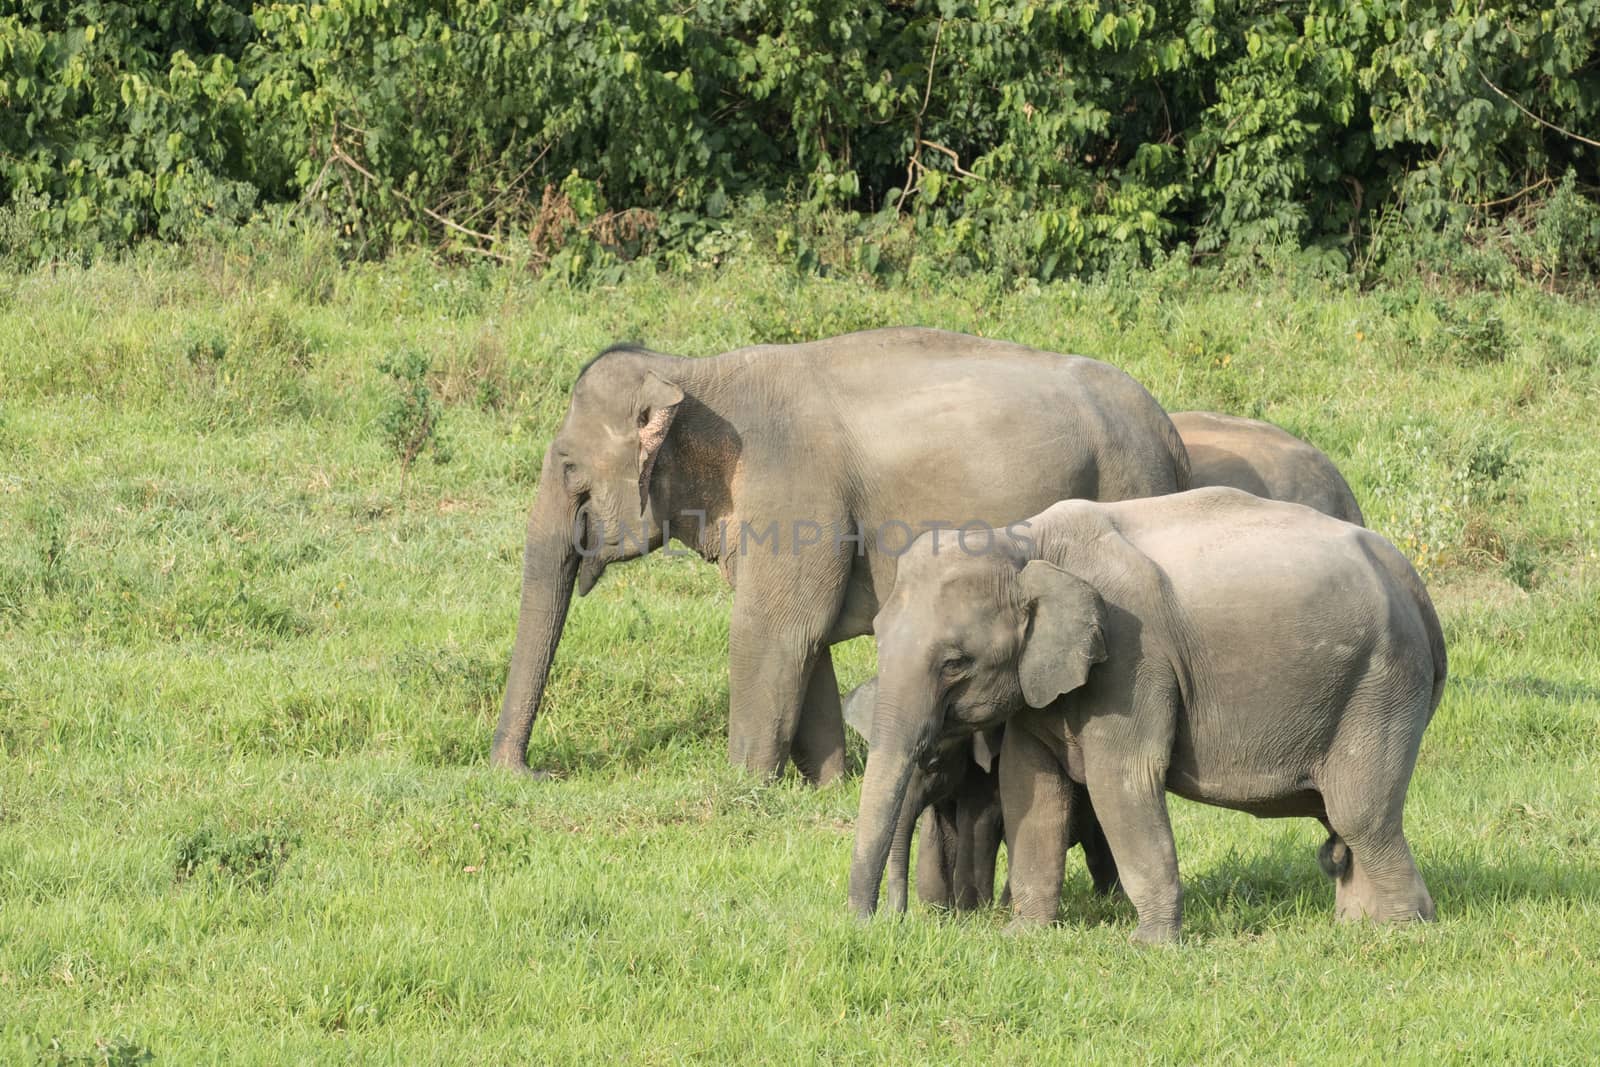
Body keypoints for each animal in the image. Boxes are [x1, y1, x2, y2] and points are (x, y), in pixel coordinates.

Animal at [492, 327, 1196, 783]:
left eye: (569, 469)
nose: (532, 775)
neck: (694, 374)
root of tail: (1171, 434)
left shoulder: (794, 490)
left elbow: (772, 629)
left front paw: (740, 786)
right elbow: (809, 640)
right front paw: (826, 786)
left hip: (1127, 483)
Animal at [851, 489, 1452, 947]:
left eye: (955, 662)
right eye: (876, 635)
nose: (873, 925)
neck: (1026, 542)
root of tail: (1415, 585)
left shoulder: (1131, 659)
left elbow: (1122, 779)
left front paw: (1150, 946)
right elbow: (1030, 786)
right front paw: (1023, 938)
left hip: (1380, 683)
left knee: (1359, 814)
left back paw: (1399, 933)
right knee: (1343, 820)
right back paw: (1358, 927)